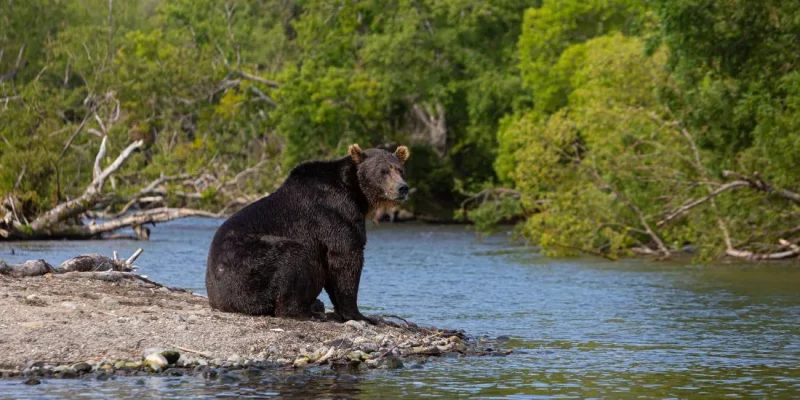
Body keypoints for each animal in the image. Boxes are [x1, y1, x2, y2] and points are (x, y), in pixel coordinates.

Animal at [206, 144, 410, 322]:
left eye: (400, 170)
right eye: (383, 171)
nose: (403, 188)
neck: (356, 193)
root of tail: (216, 298)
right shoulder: (334, 213)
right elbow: (346, 257)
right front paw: (360, 314)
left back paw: (315, 305)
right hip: (250, 265)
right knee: (292, 256)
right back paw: (308, 312)